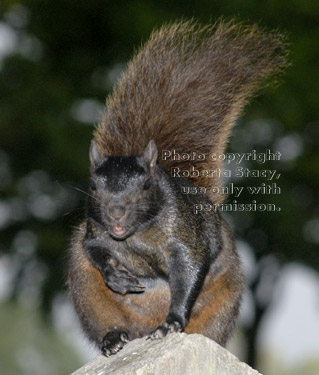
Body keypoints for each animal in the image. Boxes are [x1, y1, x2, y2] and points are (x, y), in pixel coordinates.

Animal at [67, 19, 288, 356]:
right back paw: (113, 338)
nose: (116, 212)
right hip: (87, 293)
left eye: (147, 184)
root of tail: (142, 329)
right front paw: (117, 277)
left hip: (222, 305)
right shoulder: (93, 232)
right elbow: (94, 251)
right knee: (105, 322)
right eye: (93, 185)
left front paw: (172, 321)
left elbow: (190, 269)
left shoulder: (187, 237)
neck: (136, 236)